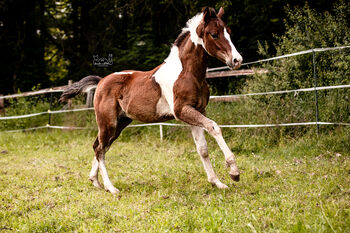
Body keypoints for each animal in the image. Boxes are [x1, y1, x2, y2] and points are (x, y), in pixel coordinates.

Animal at [60, 6, 243, 195]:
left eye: (229, 32)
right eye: (214, 34)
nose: (237, 60)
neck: (187, 73)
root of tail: (101, 80)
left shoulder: (197, 110)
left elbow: (203, 149)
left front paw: (217, 182)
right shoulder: (182, 111)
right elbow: (214, 127)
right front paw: (234, 172)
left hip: (120, 123)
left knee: (101, 146)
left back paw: (95, 181)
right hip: (107, 122)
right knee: (100, 148)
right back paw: (111, 187)